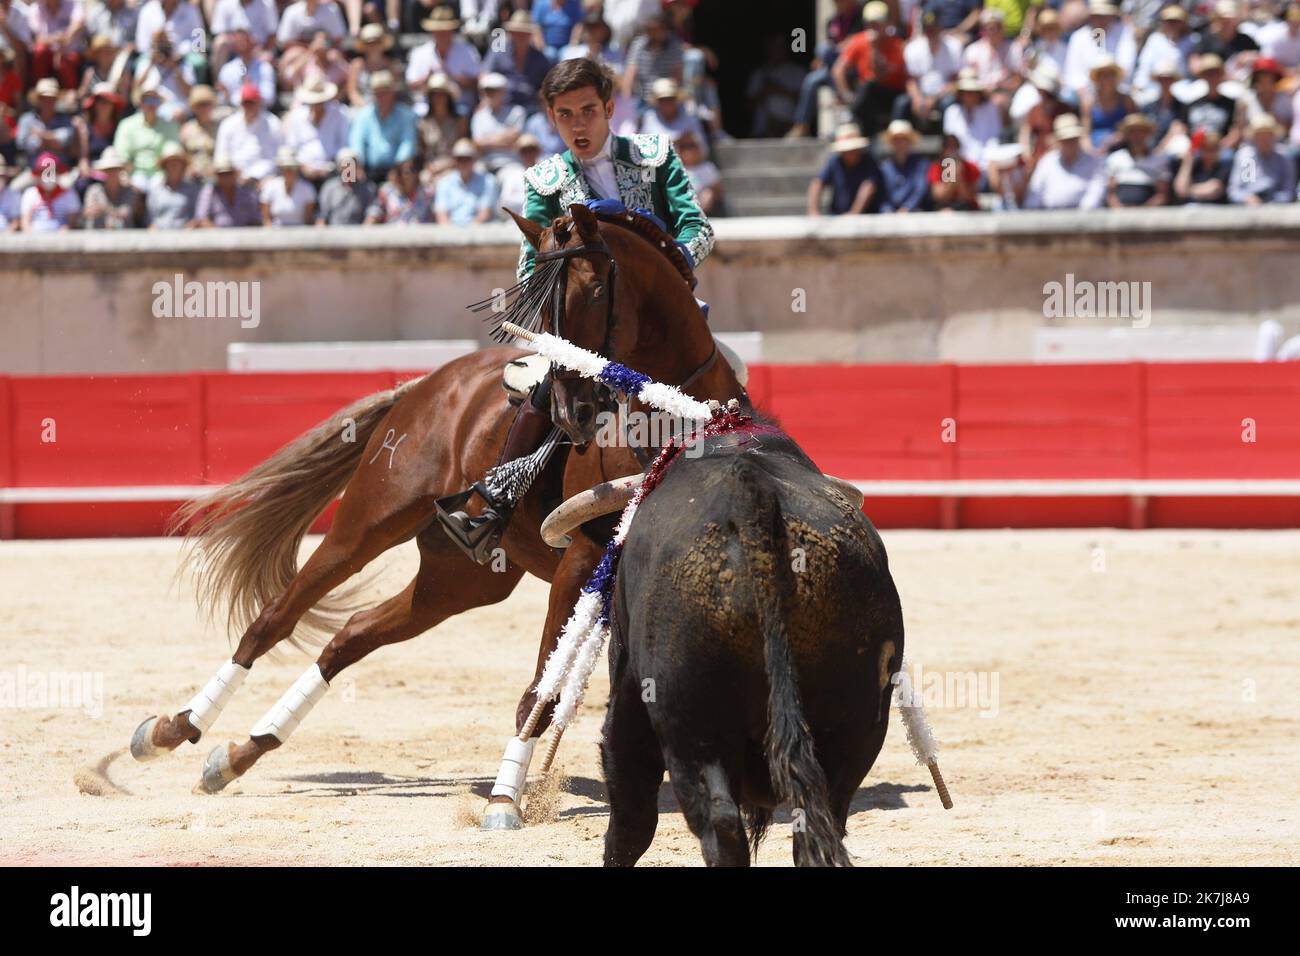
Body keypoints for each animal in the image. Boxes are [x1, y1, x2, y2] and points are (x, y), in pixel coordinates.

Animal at [133, 201, 748, 822]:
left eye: (597, 291)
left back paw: (237, 755)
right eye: (537, 303)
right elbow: (541, 689)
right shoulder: (585, 556)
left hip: (461, 579)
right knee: (275, 618)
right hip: (370, 521)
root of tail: (423, 386)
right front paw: (504, 800)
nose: (570, 411)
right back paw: (172, 730)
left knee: (351, 635)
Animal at [600, 421, 899, 868]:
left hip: (691, 721)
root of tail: (753, 493)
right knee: (821, 820)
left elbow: (629, 813)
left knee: (718, 823)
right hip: (855, 721)